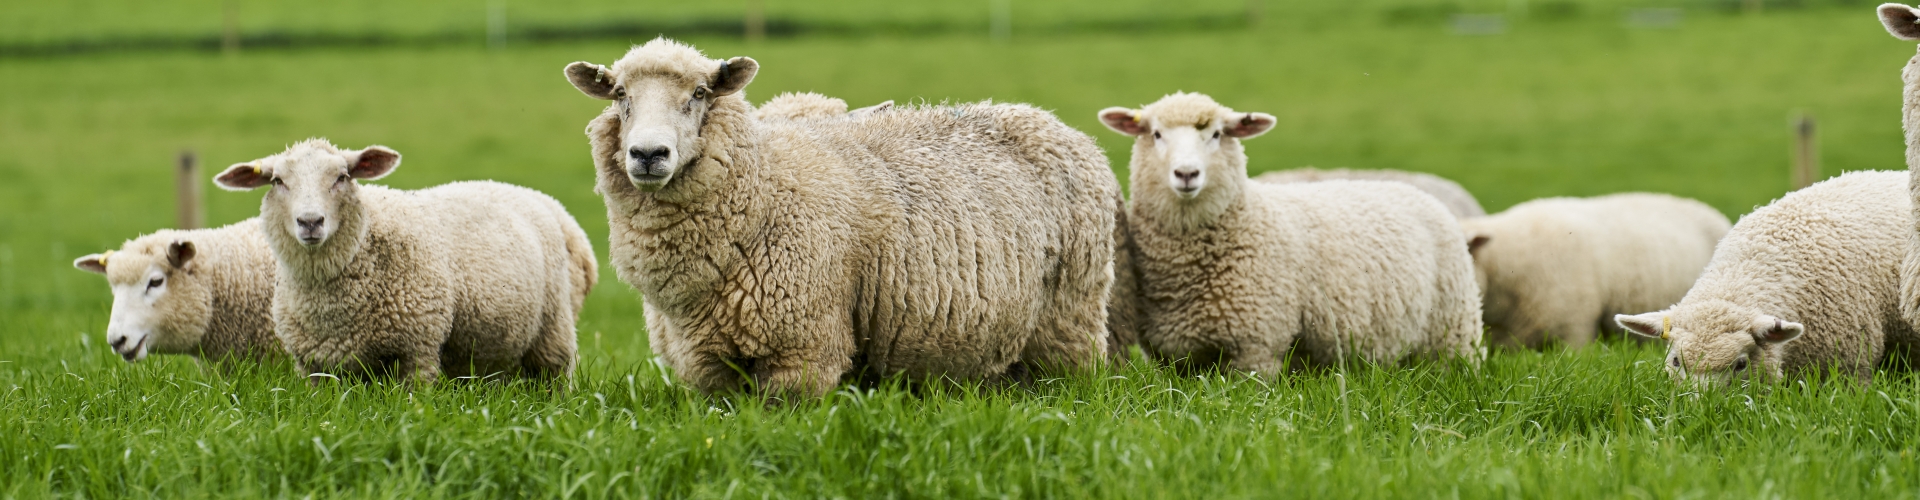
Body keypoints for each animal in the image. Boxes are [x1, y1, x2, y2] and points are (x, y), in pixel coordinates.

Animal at [212, 139, 598, 383]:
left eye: (342, 177)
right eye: (277, 181)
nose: (310, 222)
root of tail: (542, 198)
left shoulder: (417, 349)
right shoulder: (316, 366)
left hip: (553, 335)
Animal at [562, 38, 1120, 398]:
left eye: (700, 94)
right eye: (619, 95)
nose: (647, 154)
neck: (764, 188)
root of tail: (1053, 123)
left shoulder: (802, 353)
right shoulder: (706, 365)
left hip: (1068, 326)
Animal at [1097, 92, 1482, 376]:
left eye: (1217, 134)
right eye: (1156, 134)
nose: (1187, 174)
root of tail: (1419, 193)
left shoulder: (1256, 347)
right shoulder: (1174, 357)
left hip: (1454, 331)